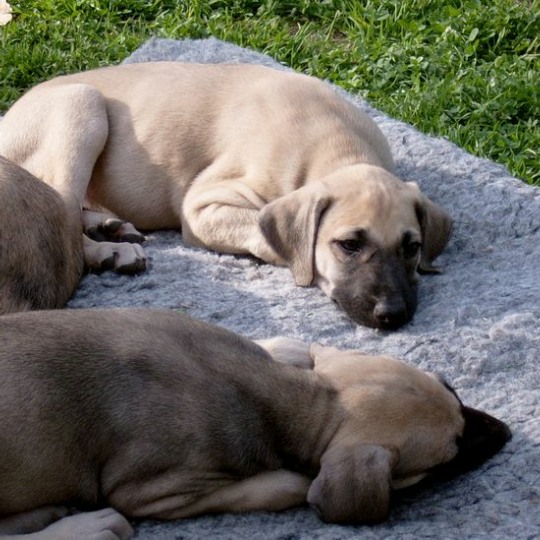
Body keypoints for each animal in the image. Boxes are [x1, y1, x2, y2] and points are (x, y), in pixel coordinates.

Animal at [0, 308, 510, 537]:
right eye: (450, 453)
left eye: (453, 389)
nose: (507, 432)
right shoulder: (152, 492)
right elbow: (286, 484)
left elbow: (287, 345)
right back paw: (83, 526)